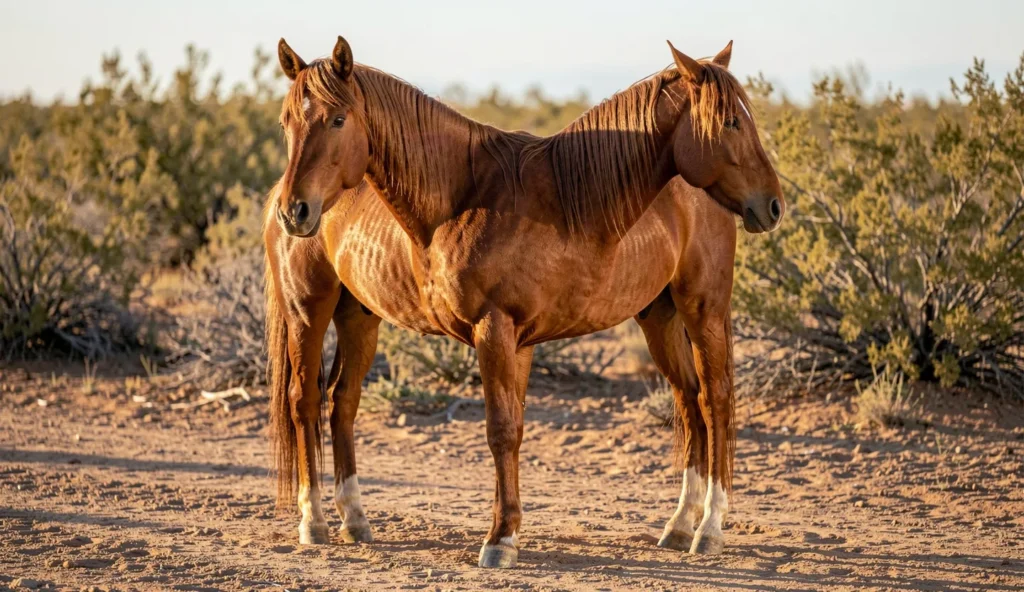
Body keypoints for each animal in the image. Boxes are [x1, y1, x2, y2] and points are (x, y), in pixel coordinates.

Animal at [265, 35, 784, 568]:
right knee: (314, 401)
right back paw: (324, 520)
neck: (460, 199)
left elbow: (504, 430)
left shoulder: (503, 333)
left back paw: (704, 528)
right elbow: (506, 430)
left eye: (337, 119)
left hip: (697, 310)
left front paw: (500, 538)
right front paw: (505, 534)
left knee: (710, 400)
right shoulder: (506, 334)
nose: (772, 204)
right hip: (319, 311)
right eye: (288, 122)